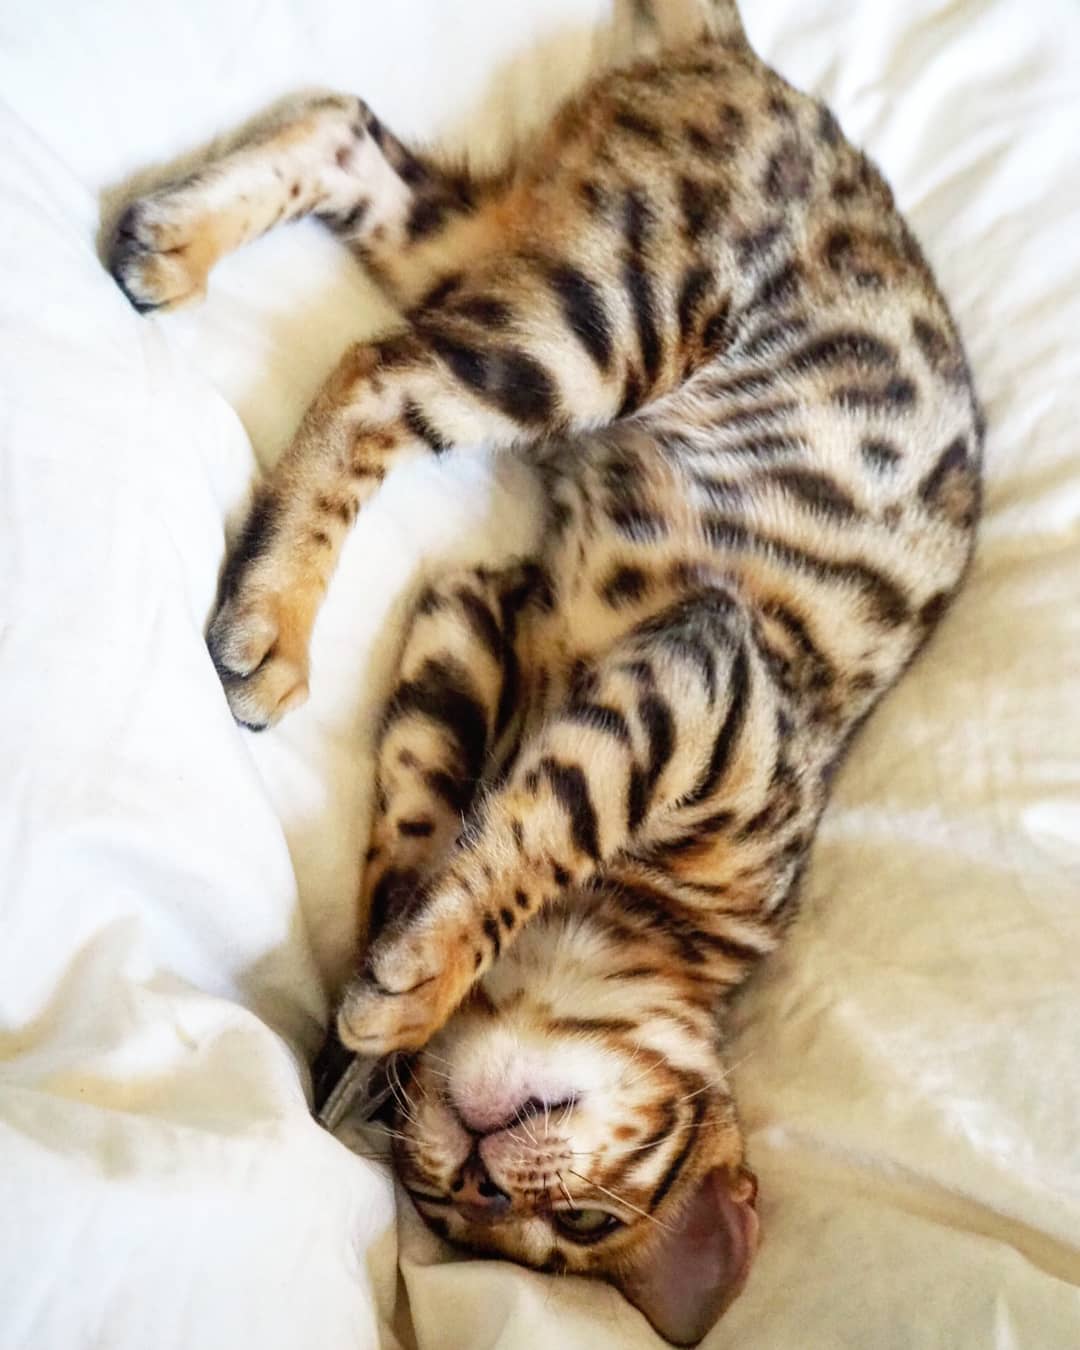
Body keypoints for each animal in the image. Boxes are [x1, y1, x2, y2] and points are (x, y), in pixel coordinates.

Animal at [107, 0, 977, 1333]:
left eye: (559, 1232)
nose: (479, 1173)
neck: (660, 940)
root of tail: (746, 59)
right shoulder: (717, 691)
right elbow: (554, 822)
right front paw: (417, 987)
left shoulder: (471, 615)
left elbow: (433, 829)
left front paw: (383, 1011)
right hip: (612, 316)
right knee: (377, 377)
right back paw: (274, 620)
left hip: (498, 243)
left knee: (347, 135)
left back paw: (175, 239)